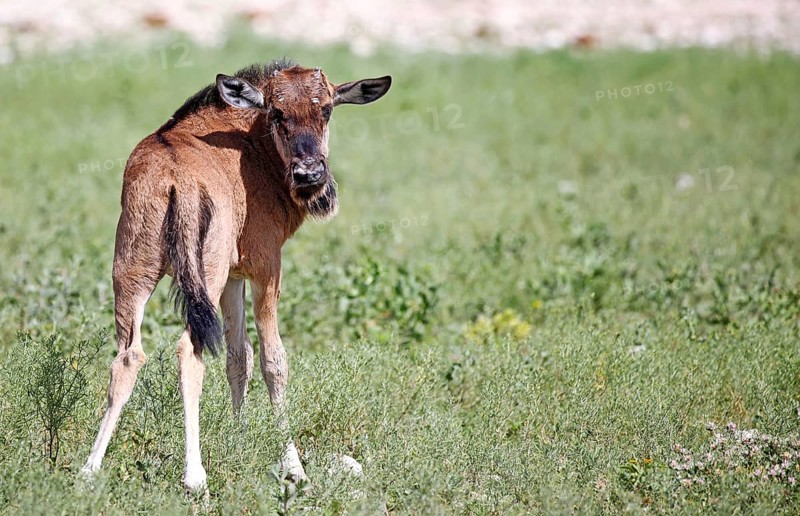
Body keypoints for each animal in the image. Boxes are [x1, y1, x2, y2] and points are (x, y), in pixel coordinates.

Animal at [81, 59, 391, 490]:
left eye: (327, 109)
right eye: (277, 113)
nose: (309, 175)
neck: (252, 147)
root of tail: (172, 178)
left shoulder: (233, 277)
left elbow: (237, 357)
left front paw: (239, 440)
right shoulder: (264, 268)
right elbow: (272, 361)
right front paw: (294, 467)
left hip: (132, 271)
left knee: (128, 357)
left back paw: (90, 468)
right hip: (202, 277)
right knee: (188, 351)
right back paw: (194, 475)